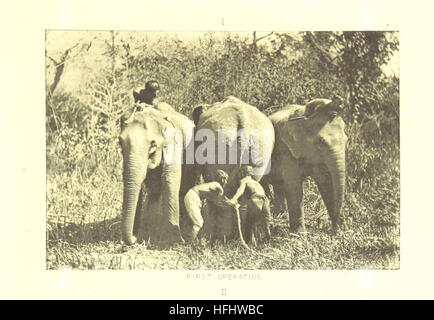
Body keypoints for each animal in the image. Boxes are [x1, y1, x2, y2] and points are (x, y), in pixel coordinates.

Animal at [118, 102, 194, 245]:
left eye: (153, 144)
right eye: (120, 142)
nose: (135, 236)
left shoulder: (174, 144)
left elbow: (170, 180)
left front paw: (176, 240)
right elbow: (153, 185)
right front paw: (148, 236)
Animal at [262, 95, 348, 232]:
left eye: (346, 140)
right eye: (321, 141)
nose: (335, 228)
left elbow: (325, 183)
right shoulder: (285, 149)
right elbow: (293, 185)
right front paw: (299, 233)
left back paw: (280, 215)